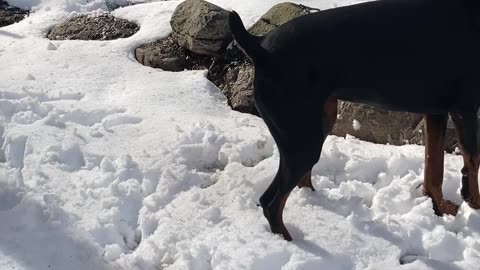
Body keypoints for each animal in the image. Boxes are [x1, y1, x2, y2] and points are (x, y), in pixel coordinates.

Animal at [229, 0, 480, 240]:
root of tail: (260, 45)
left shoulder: (437, 111)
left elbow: (434, 167)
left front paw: (439, 207)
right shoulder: (464, 108)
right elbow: (473, 160)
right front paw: (474, 206)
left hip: (319, 122)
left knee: (297, 183)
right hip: (302, 138)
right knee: (271, 202)